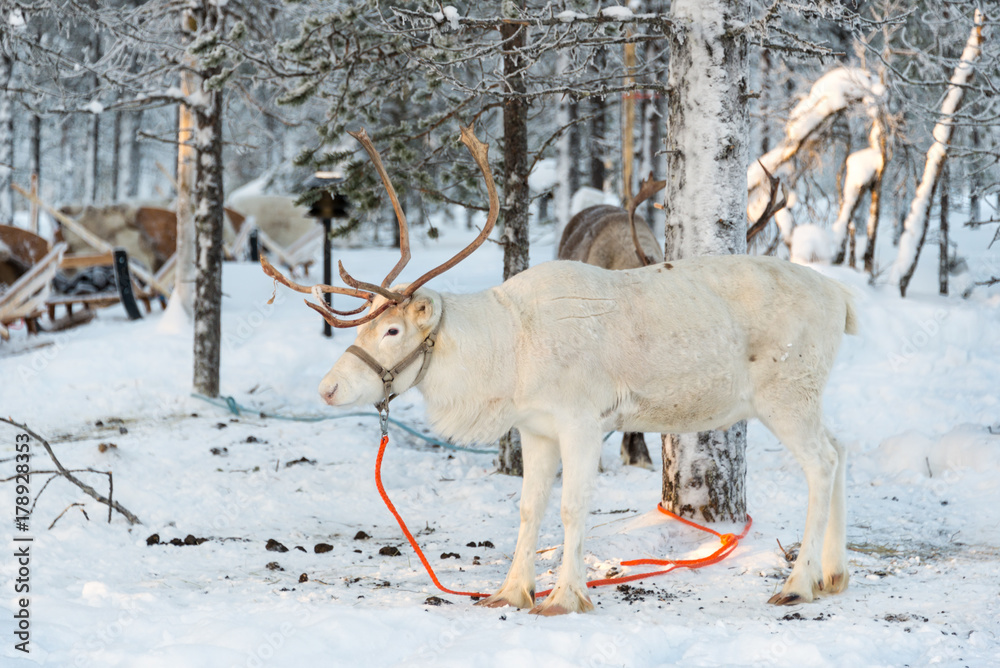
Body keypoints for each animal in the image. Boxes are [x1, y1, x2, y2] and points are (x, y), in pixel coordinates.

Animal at [261, 125, 857, 616]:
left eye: (391, 331)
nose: (328, 387)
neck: (505, 356)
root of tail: (840, 298)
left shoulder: (581, 422)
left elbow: (572, 509)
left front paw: (565, 597)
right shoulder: (536, 428)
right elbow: (530, 509)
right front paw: (510, 592)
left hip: (787, 396)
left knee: (822, 462)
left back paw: (798, 584)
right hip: (805, 397)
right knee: (839, 448)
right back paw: (833, 575)